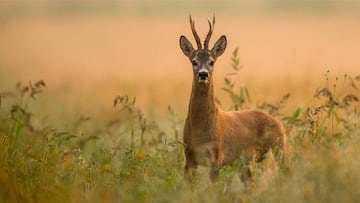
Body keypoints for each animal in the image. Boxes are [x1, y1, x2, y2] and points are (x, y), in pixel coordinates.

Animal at [179, 15, 286, 182]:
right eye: (193, 61)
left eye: (212, 61)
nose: (203, 74)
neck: (199, 129)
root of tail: (279, 124)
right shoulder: (189, 158)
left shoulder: (216, 157)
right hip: (246, 163)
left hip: (278, 149)